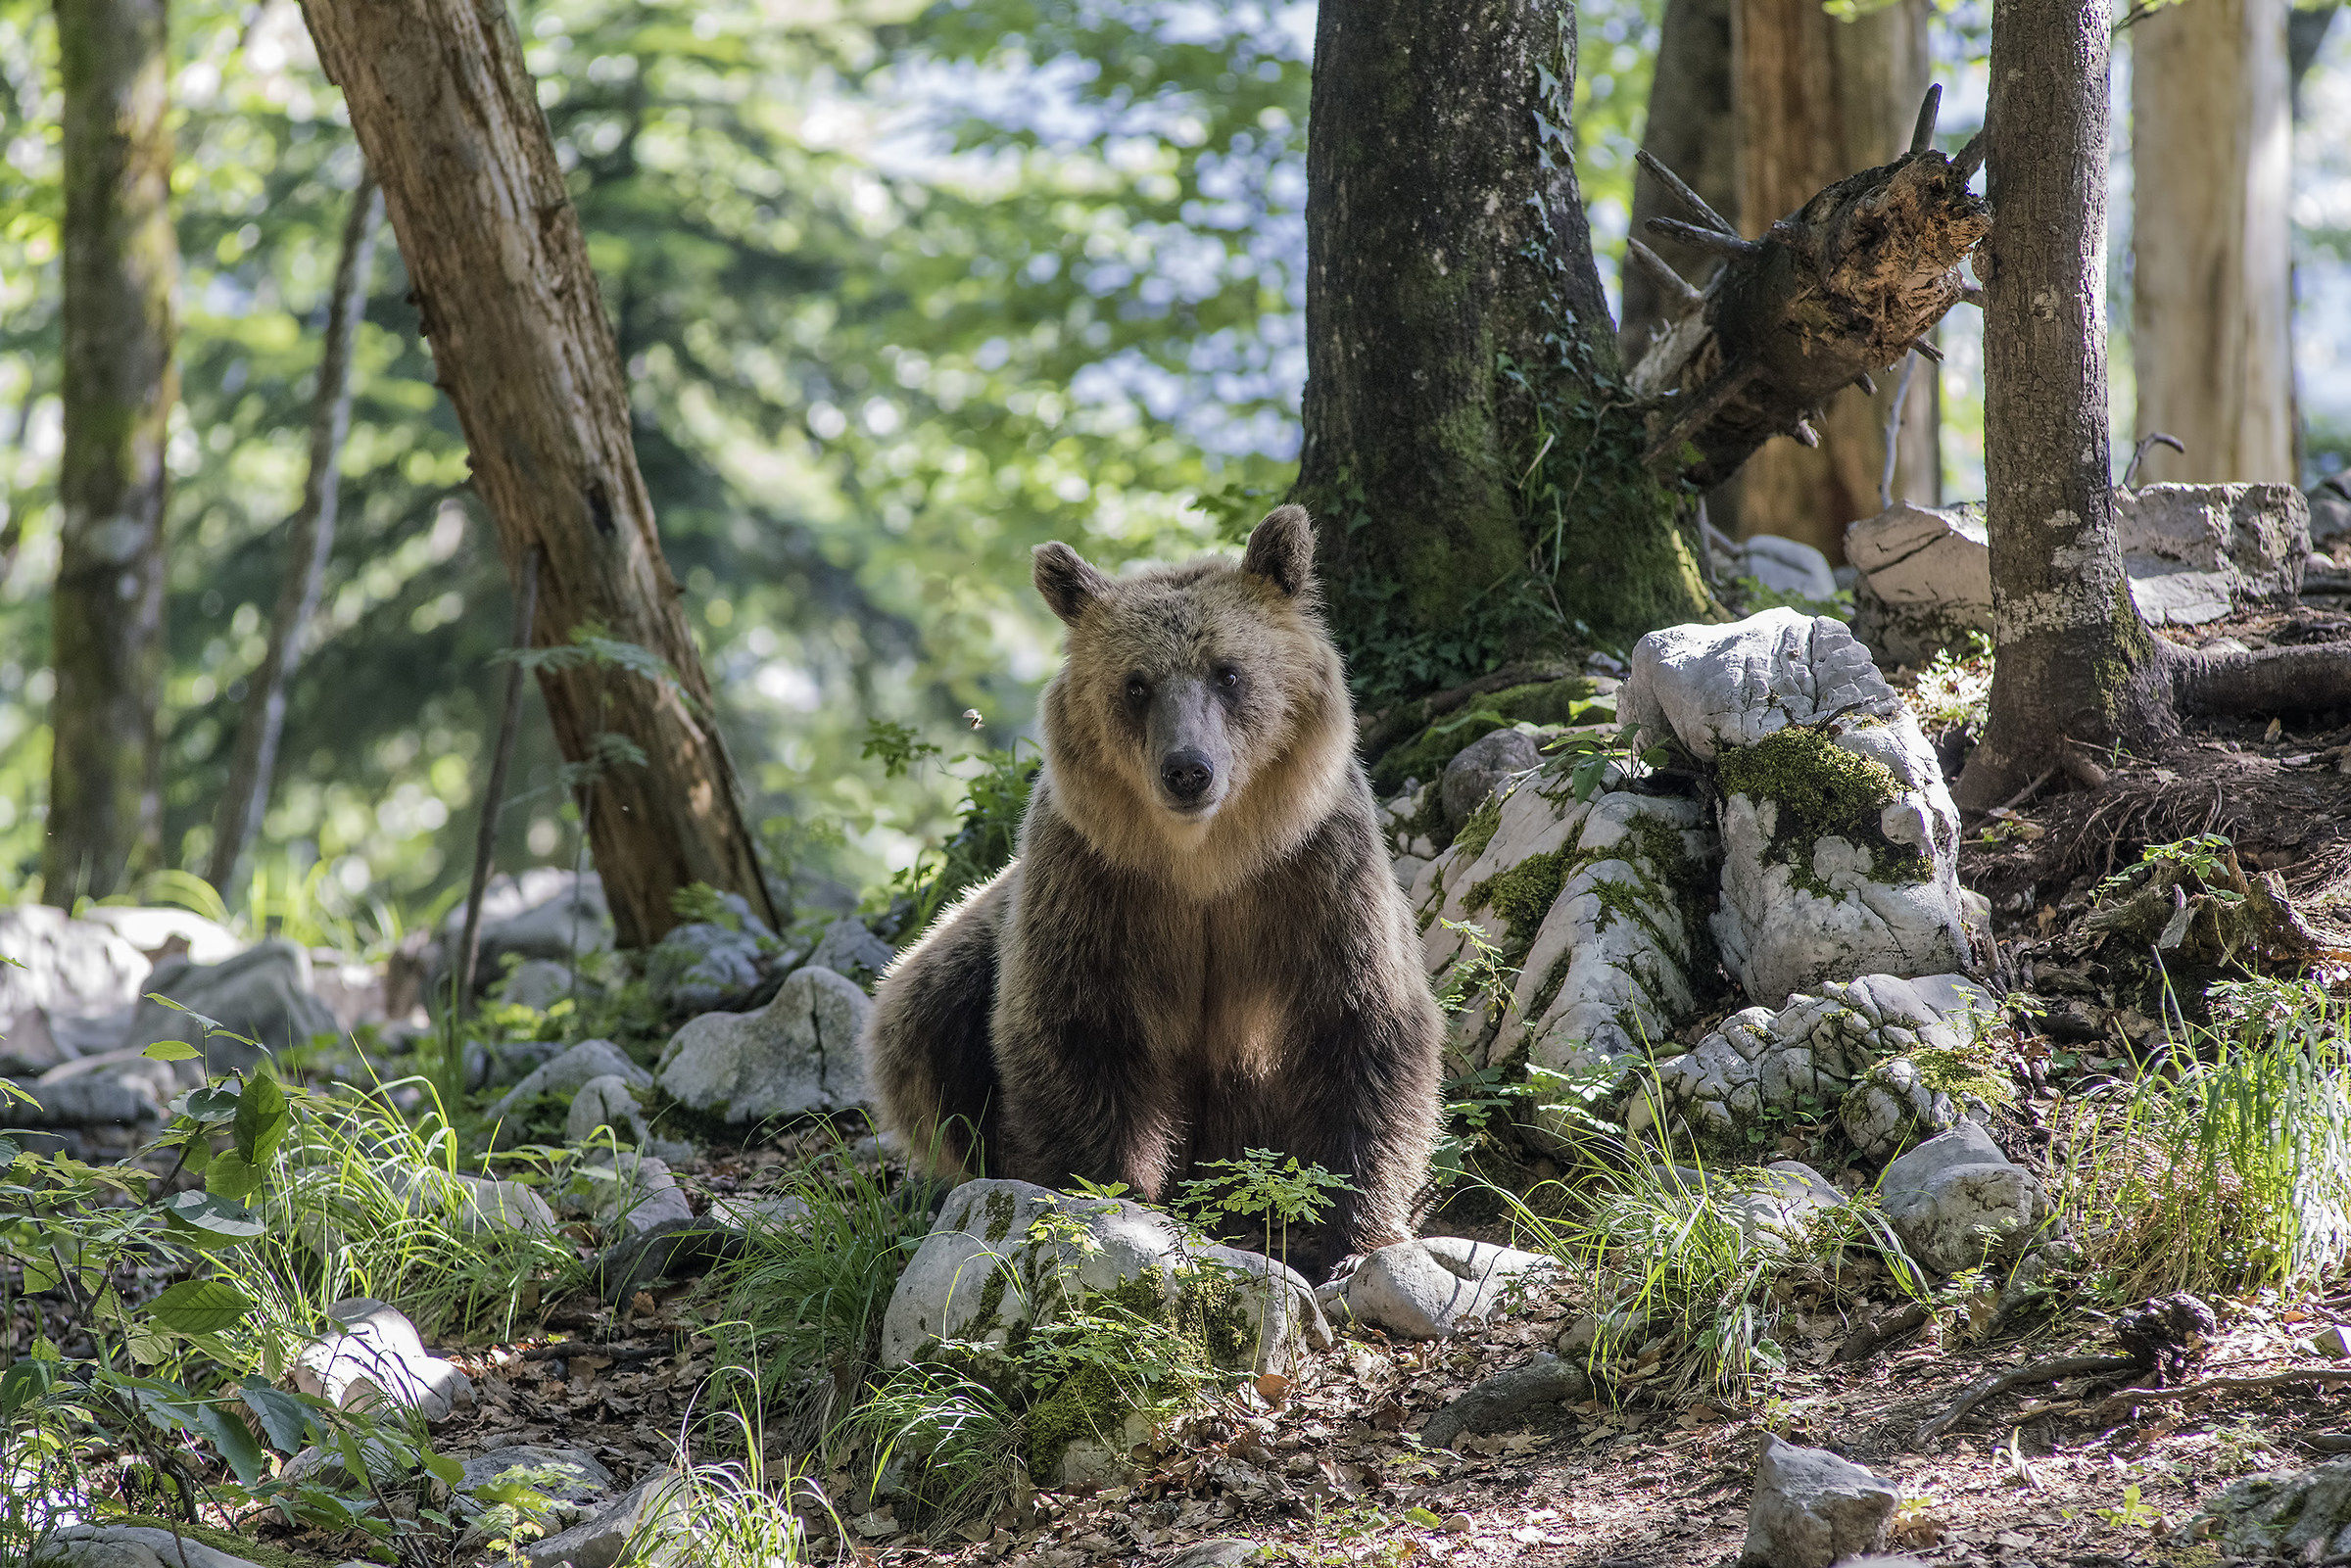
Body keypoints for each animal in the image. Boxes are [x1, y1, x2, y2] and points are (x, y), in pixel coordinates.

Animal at [862, 504, 1443, 1278]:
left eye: (1228, 671)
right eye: (1137, 684)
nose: (1188, 769)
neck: (1202, 864)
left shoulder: (1315, 873)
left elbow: (1363, 1026)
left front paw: (1354, 1232)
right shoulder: (1095, 882)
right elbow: (1077, 1030)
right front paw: (1116, 1198)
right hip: (969, 940)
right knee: (924, 1010)